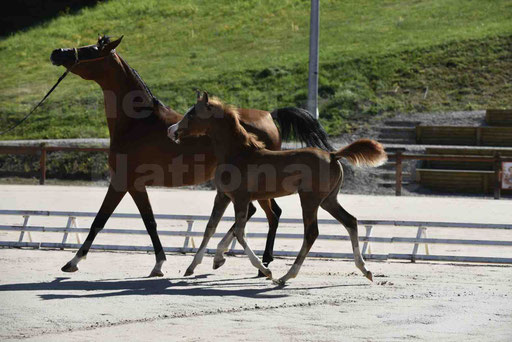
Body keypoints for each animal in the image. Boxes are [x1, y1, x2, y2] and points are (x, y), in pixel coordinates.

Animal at [50, 34, 334, 276]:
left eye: (92, 49)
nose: (57, 52)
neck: (138, 122)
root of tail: (269, 115)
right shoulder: (136, 185)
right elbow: (149, 222)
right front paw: (159, 263)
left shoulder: (122, 181)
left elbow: (100, 220)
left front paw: (73, 261)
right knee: (262, 213)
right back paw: (236, 259)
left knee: (271, 214)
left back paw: (255, 262)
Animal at [172, 92, 388, 284]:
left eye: (192, 113)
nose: (172, 130)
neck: (239, 154)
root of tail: (333, 155)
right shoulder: (223, 196)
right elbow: (210, 227)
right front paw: (193, 266)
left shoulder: (240, 198)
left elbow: (240, 233)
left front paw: (265, 270)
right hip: (328, 200)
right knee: (350, 221)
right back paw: (365, 270)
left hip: (309, 200)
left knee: (311, 232)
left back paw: (286, 276)